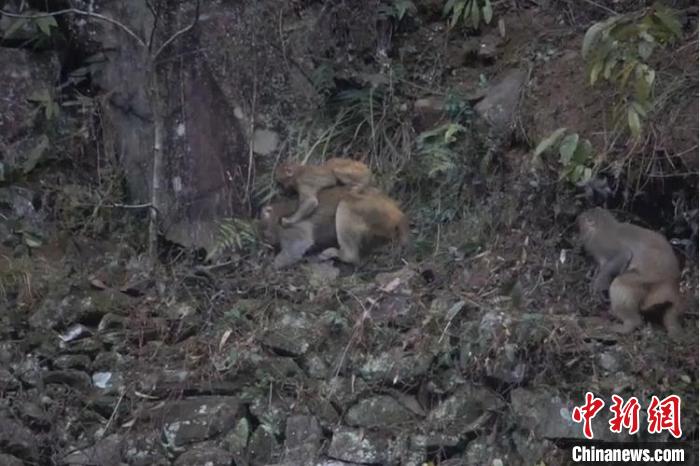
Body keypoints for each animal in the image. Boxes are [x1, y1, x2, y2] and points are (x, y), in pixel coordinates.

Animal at [260, 184, 408, 268]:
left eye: (264, 232)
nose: (267, 239)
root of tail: (398, 214)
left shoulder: (288, 229)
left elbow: (297, 245)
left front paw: (272, 265)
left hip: (375, 214)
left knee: (345, 203)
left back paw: (343, 254)